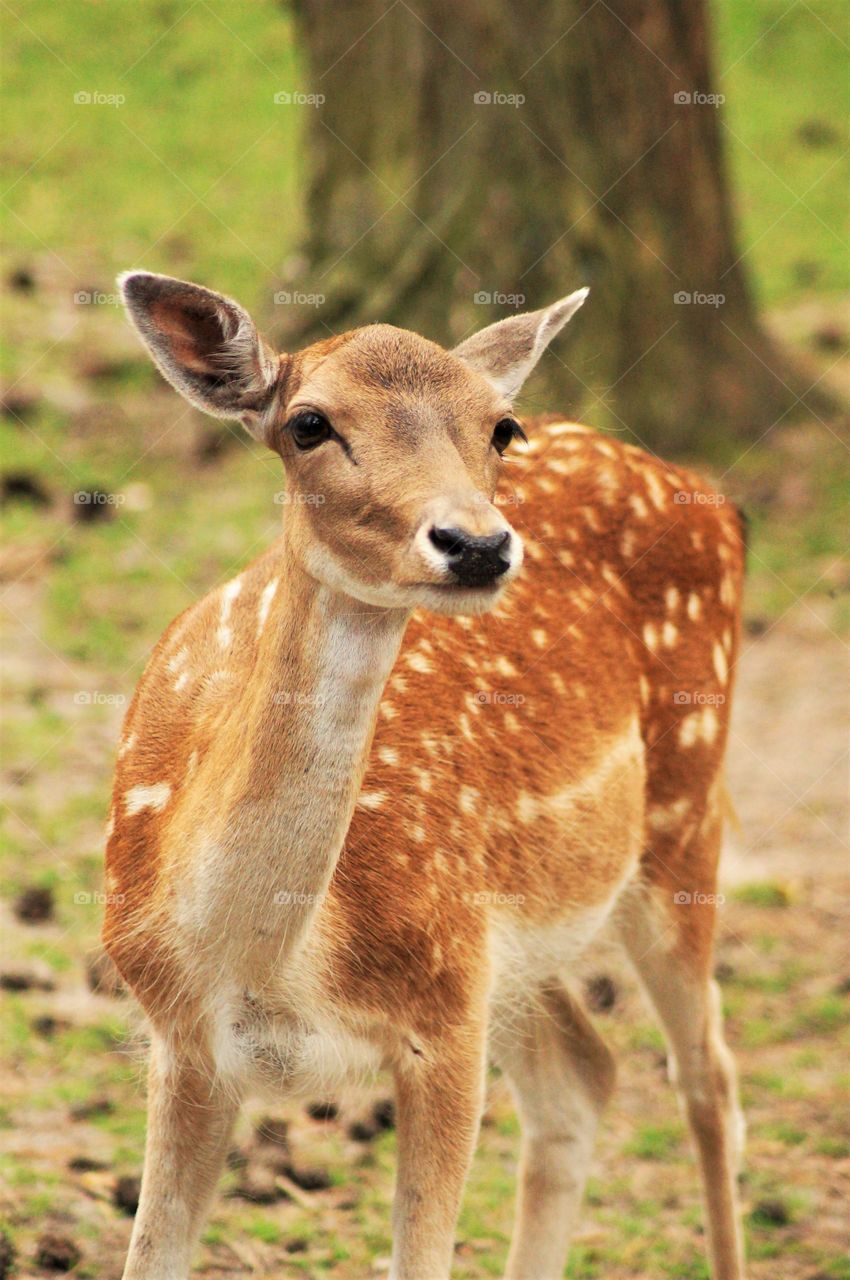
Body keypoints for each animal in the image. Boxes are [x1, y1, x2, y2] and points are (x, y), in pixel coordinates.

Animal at [104, 270, 747, 1280]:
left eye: (500, 428)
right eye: (309, 424)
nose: (478, 544)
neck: (266, 967)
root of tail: (704, 493)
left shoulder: (443, 1018)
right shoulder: (183, 1044)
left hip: (684, 809)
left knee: (705, 1075)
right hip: (516, 949)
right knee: (583, 1073)